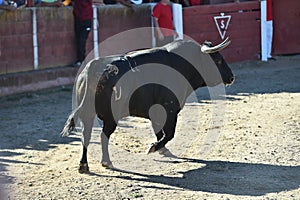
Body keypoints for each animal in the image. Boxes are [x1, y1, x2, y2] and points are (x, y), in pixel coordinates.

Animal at [61, 38, 234, 173]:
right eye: (218, 60)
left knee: (86, 136)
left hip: (88, 115)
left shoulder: (156, 112)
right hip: (111, 117)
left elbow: (159, 131)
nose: (231, 77)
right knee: (103, 136)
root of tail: (93, 68)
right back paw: (106, 161)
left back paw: (84, 165)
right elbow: (169, 133)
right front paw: (154, 148)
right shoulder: (169, 109)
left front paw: (162, 150)